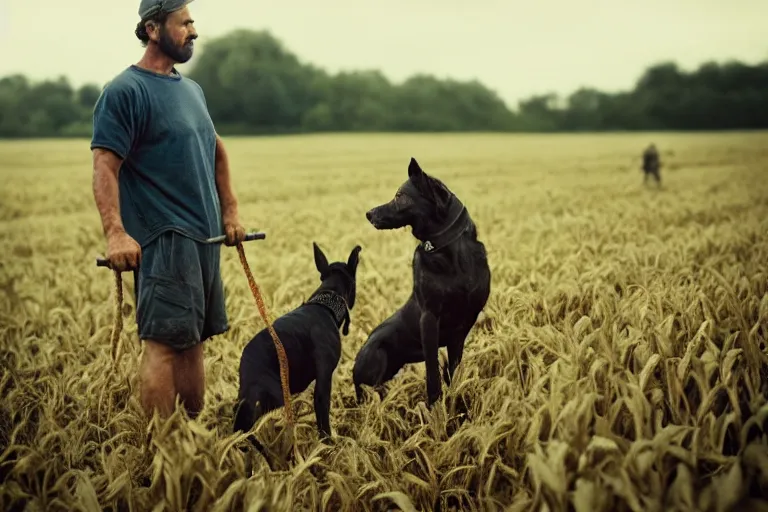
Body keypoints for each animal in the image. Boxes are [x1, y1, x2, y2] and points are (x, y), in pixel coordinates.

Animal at [352, 156, 488, 408]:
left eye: (399, 196)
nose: (369, 213)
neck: (448, 251)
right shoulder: (429, 317)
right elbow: (433, 372)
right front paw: (435, 407)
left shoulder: (465, 323)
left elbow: (453, 370)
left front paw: (454, 400)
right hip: (377, 354)